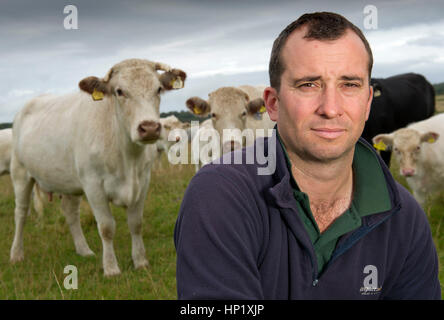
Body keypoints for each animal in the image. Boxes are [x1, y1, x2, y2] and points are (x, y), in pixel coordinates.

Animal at [9, 59, 186, 276]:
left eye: (158, 89)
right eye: (119, 91)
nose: (150, 128)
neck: (127, 158)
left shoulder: (143, 182)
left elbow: (136, 224)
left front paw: (140, 261)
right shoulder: (93, 186)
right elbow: (106, 228)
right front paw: (111, 268)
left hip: (69, 180)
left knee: (70, 213)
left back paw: (84, 250)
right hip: (20, 173)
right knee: (21, 212)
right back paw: (16, 254)